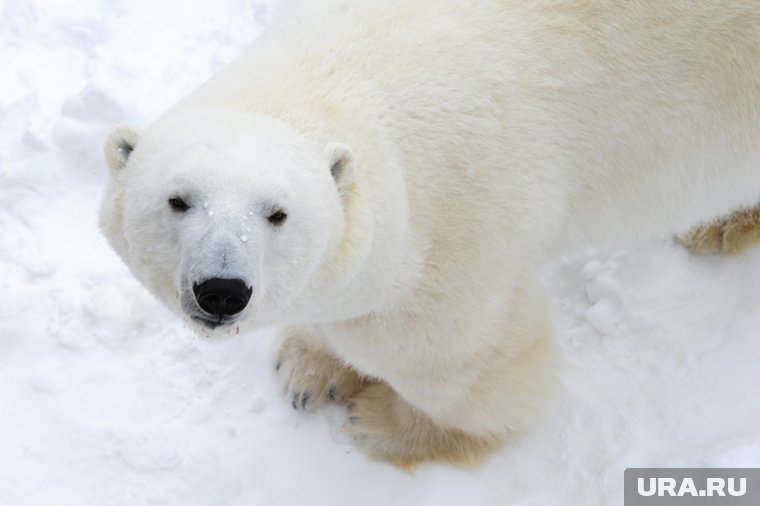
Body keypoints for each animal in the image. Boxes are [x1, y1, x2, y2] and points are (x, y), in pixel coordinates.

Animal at [99, 0, 760, 466]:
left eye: (277, 213)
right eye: (178, 201)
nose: (222, 291)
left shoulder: (451, 230)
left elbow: (457, 358)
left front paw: (386, 424)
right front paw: (310, 366)